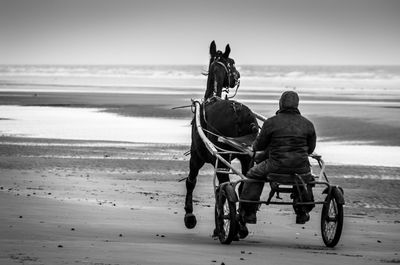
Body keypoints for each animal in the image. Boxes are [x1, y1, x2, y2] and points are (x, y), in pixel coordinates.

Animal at [184, 41, 260, 235]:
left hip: (222, 159)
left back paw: (224, 225)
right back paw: (242, 223)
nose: (238, 76)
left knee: (225, 188)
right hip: (247, 157)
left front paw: (189, 215)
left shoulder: (197, 157)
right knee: (243, 186)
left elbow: (191, 182)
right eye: (232, 63)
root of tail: (238, 112)